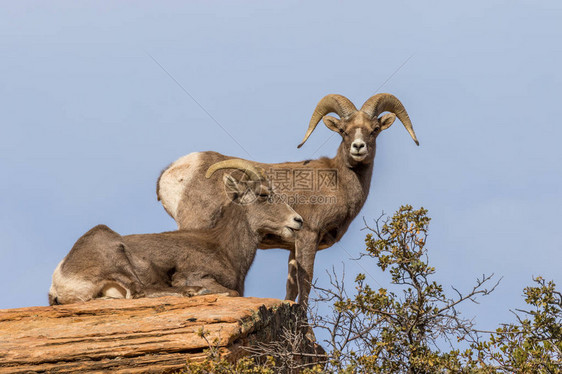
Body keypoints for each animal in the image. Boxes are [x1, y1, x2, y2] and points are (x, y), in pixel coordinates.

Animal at [48, 159, 302, 306]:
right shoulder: (195, 274)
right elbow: (232, 293)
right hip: (113, 250)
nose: (297, 221)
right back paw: (195, 292)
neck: (224, 248)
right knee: (140, 292)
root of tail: (60, 279)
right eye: (263, 195)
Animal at [155, 92, 418, 306]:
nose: (358, 147)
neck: (338, 181)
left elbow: (291, 288)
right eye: (343, 130)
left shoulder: (293, 247)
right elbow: (306, 283)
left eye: (374, 129)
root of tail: (173, 172)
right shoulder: (307, 237)